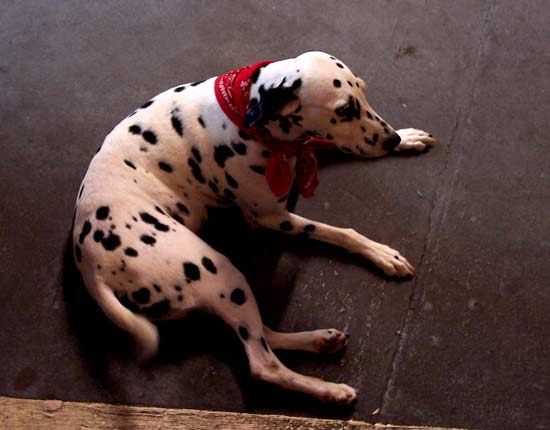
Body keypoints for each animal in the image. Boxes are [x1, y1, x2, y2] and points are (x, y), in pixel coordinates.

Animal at [73, 52, 438, 404]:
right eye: (344, 109)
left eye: (362, 90)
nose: (390, 139)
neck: (248, 111)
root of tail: (91, 266)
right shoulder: (272, 217)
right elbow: (341, 232)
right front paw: (381, 254)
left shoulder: (301, 148)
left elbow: (323, 143)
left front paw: (407, 137)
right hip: (219, 271)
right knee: (263, 364)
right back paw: (328, 390)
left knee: (263, 333)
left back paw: (318, 340)